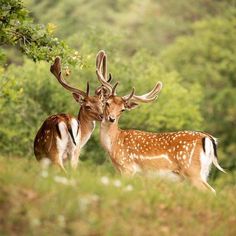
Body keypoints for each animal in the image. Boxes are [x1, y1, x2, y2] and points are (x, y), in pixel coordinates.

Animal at [95, 50, 225, 193]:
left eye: (122, 109)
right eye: (107, 103)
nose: (111, 118)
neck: (114, 145)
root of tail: (209, 138)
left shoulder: (127, 168)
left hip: (192, 170)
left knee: (211, 192)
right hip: (204, 172)